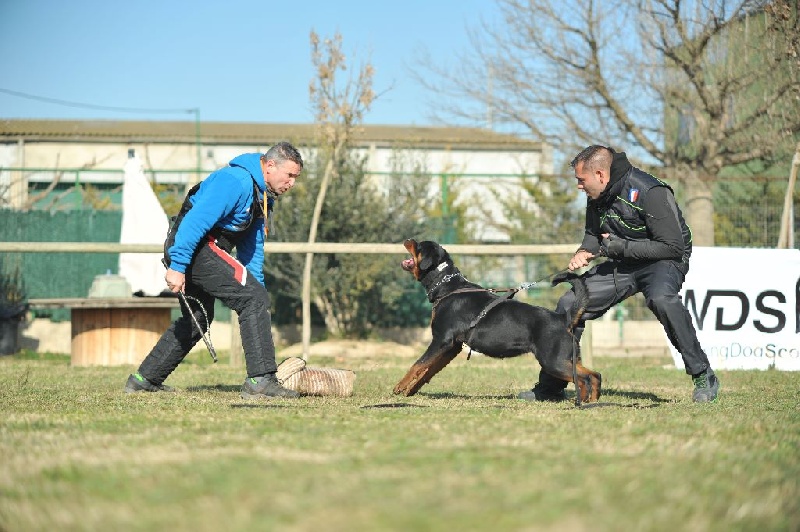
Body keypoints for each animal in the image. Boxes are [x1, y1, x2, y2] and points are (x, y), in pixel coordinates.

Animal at [394, 239, 600, 402]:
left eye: (418, 245)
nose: (408, 239)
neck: (447, 286)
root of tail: (562, 318)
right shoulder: (452, 346)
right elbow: (428, 370)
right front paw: (410, 391)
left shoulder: (441, 340)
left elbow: (418, 364)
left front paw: (399, 387)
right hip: (566, 358)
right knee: (594, 375)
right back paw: (590, 401)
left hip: (553, 361)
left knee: (586, 378)